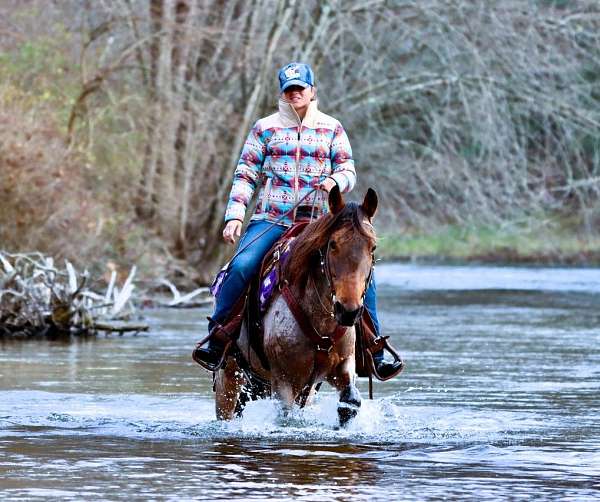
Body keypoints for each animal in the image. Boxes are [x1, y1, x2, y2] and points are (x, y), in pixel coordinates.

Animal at [213, 186, 378, 426]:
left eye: (372, 246)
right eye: (333, 244)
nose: (349, 311)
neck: (321, 320)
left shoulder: (342, 367)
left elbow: (350, 401)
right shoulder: (284, 381)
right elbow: (286, 416)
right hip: (228, 379)